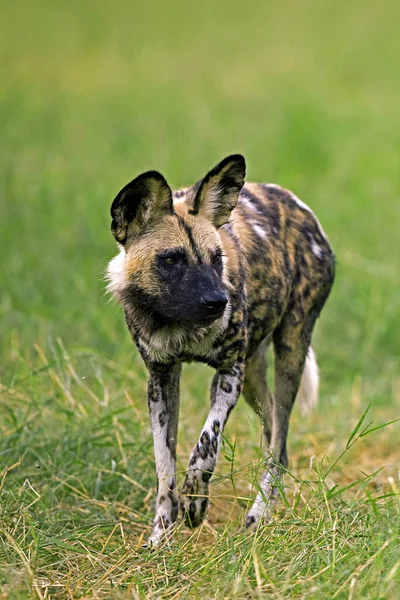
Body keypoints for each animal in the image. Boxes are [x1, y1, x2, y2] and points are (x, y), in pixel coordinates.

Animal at [106, 155, 334, 544]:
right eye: (172, 260)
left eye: (216, 258)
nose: (218, 301)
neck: (178, 325)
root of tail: (298, 206)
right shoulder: (161, 380)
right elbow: (164, 466)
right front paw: (161, 536)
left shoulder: (230, 374)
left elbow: (205, 447)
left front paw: (196, 504)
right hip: (255, 378)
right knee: (274, 438)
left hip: (289, 352)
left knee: (279, 449)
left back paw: (258, 517)